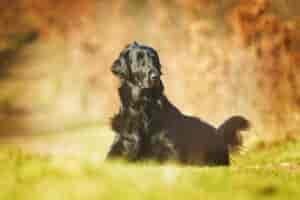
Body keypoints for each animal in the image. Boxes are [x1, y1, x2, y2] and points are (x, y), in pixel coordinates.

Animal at [107, 42, 248, 166]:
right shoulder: (120, 146)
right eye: (138, 59)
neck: (143, 106)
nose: (155, 76)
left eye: (154, 60)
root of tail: (218, 133)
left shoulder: (171, 152)